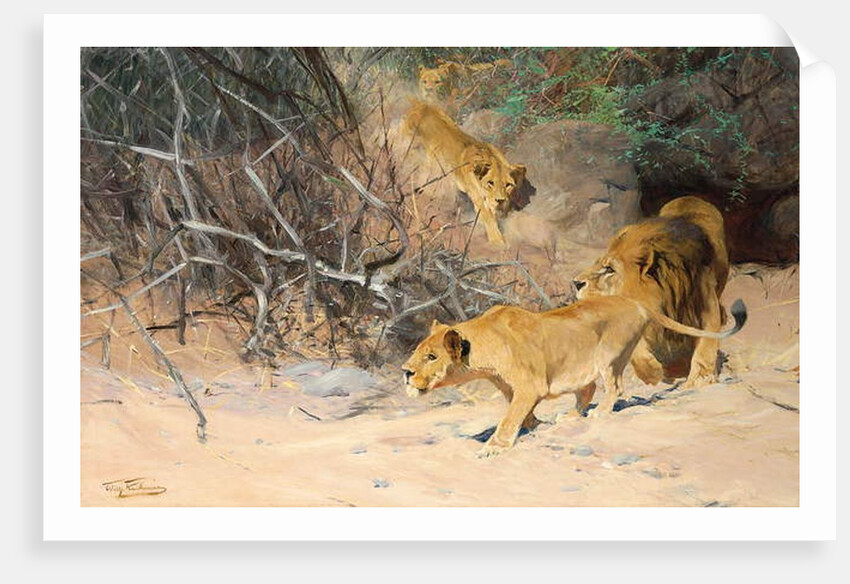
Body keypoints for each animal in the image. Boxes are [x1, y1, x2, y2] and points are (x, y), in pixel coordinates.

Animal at [401, 100, 527, 245]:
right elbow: (489, 219)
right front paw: (497, 242)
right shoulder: (478, 198)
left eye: (508, 185)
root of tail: (420, 104)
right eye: (490, 183)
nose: (500, 200)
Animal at [403, 294, 746, 457]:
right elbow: (521, 413)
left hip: (611, 356)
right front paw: (535, 425)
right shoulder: (512, 387)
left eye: (431, 357)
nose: (405, 372)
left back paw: (600, 415)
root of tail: (633, 301)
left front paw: (494, 447)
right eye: (418, 351)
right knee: (587, 390)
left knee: (614, 387)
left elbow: (509, 417)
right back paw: (569, 416)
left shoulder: (529, 385)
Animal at [573, 196, 730, 388]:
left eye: (609, 269)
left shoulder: (706, 303)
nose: (576, 283)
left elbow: (706, 343)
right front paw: (653, 373)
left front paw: (701, 378)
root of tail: (690, 196)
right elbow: (637, 350)